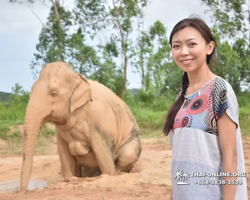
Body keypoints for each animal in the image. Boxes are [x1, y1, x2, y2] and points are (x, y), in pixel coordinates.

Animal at [20, 61, 142, 191]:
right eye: (32, 89)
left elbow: (103, 155)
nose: (24, 191)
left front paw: (110, 174)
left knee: (127, 155)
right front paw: (70, 179)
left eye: (53, 93)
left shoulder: (99, 122)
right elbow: (64, 155)